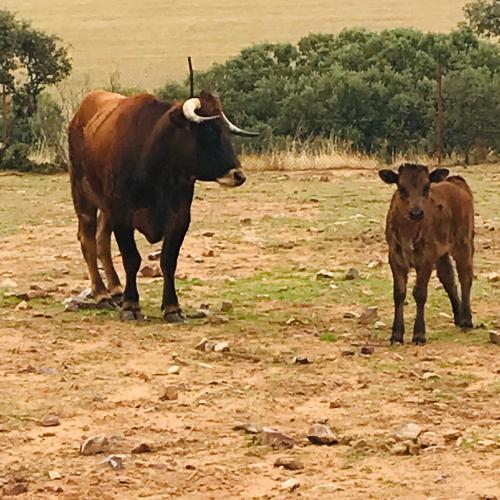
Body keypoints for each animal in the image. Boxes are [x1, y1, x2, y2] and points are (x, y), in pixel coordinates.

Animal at [68, 89, 258, 324]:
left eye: (226, 132)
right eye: (210, 131)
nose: (238, 175)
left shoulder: (180, 218)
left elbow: (168, 261)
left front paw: (171, 307)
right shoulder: (122, 215)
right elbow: (131, 259)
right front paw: (131, 305)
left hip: (105, 208)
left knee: (102, 240)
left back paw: (116, 289)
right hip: (83, 194)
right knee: (88, 240)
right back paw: (101, 293)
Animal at [380, 164, 474, 344]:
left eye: (426, 188)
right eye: (401, 188)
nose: (416, 213)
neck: (408, 232)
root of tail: (455, 181)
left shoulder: (426, 257)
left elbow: (420, 293)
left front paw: (419, 334)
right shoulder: (394, 256)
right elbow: (399, 293)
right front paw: (396, 334)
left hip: (464, 242)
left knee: (465, 277)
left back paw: (466, 320)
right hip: (442, 252)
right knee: (448, 279)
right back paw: (459, 317)